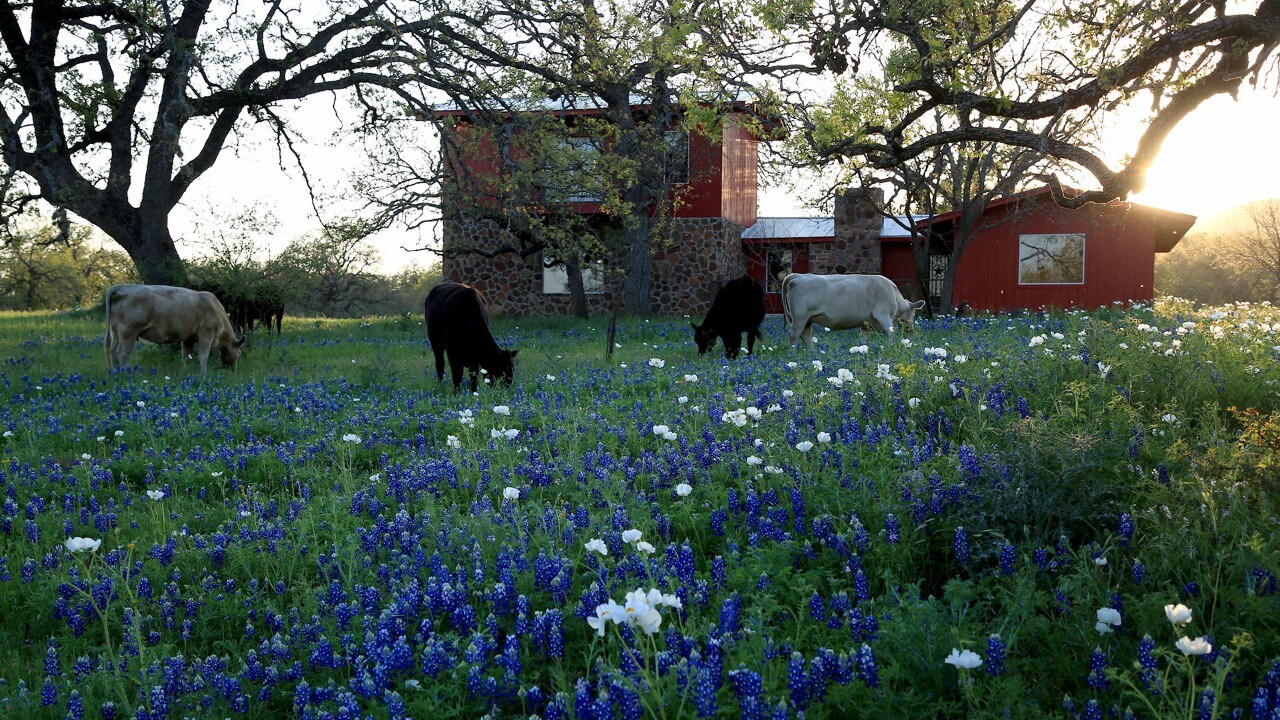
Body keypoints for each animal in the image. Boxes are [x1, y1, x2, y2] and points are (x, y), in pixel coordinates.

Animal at [104, 281, 244, 368]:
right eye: (239, 354)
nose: (233, 369)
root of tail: (121, 286)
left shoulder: (188, 338)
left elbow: (186, 357)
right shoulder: (206, 334)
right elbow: (203, 357)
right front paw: (203, 376)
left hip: (116, 331)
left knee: (112, 351)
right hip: (129, 332)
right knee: (122, 353)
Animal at [783, 271, 926, 348]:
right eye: (914, 313)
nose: (912, 329)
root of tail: (798, 276)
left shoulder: (866, 324)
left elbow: (863, 340)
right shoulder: (883, 315)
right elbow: (891, 333)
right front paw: (890, 347)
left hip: (807, 320)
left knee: (806, 336)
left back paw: (811, 353)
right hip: (800, 317)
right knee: (794, 334)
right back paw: (792, 354)